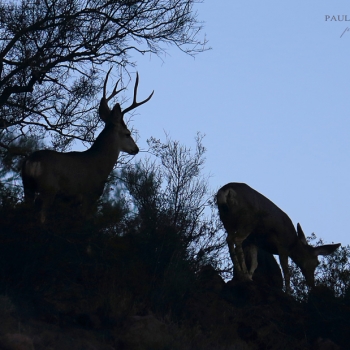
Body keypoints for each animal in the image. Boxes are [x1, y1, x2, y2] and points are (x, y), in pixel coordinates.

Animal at [21, 68, 153, 223]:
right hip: (49, 188)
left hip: (27, 186)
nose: (136, 149)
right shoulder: (89, 195)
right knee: (42, 215)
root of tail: (32, 161)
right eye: (128, 133)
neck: (98, 163)